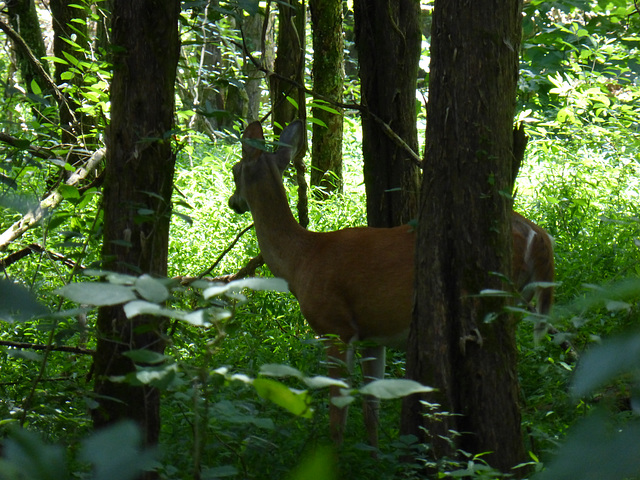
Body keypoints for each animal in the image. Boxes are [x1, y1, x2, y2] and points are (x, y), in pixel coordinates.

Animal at [230, 119, 556, 446]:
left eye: (235, 170)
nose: (234, 202)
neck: (301, 260)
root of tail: (539, 236)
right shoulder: (373, 336)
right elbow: (370, 407)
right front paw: (374, 453)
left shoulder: (335, 327)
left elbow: (339, 414)